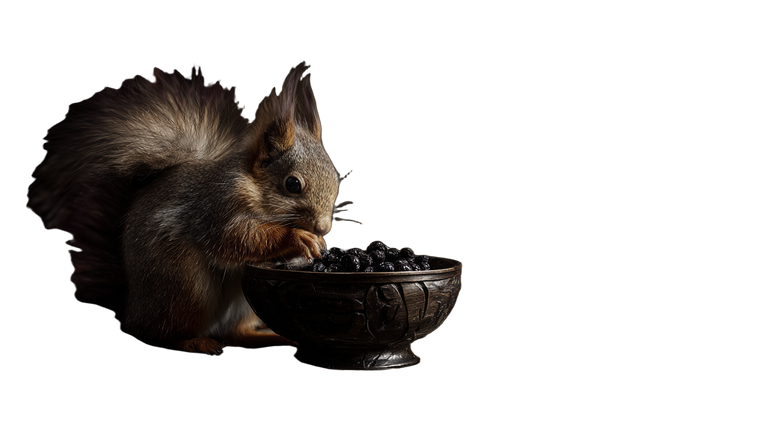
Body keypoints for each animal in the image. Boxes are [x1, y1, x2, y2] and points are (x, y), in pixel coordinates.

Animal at [29, 62, 343, 356]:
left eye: (336, 178)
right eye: (293, 184)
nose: (323, 227)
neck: (254, 189)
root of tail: (131, 311)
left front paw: (319, 243)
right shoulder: (218, 208)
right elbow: (239, 239)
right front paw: (298, 237)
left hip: (238, 302)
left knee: (234, 334)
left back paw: (270, 338)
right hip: (185, 286)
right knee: (163, 335)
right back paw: (193, 342)